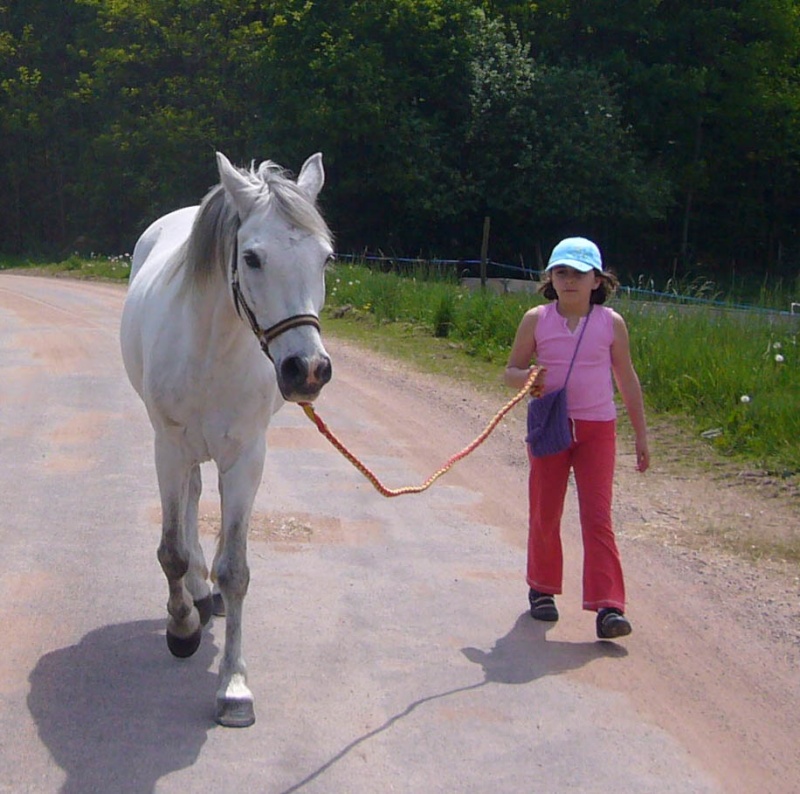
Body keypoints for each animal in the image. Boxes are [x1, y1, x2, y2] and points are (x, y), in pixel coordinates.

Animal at [118, 150, 332, 724]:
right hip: (179, 449)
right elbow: (171, 550)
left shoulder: (246, 458)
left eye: (326, 259)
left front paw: (234, 687)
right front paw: (182, 630)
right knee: (190, 503)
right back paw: (194, 595)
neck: (213, 349)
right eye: (252, 258)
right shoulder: (168, 448)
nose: (307, 370)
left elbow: (235, 571)